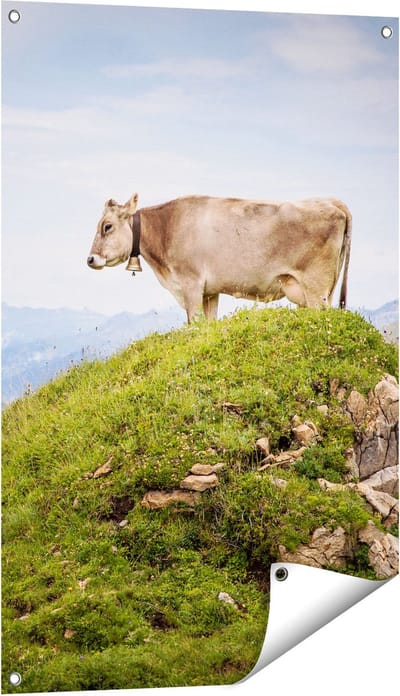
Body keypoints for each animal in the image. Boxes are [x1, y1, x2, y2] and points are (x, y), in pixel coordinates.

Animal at [87, 193, 352, 322]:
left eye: (107, 226)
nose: (90, 259)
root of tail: (333, 203)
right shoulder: (210, 291)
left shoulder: (191, 284)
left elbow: (194, 324)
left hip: (316, 288)